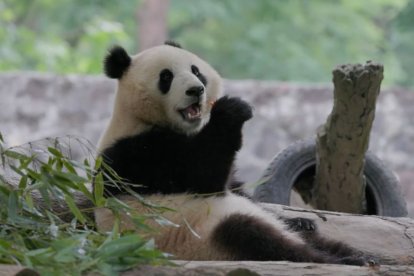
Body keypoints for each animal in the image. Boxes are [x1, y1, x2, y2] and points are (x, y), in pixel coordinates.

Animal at [94, 41, 372, 266]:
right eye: (166, 77)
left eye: (196, 71)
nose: (195, 90)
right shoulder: (137, 154)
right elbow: (202, 174)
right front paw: (232, 110)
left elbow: (235, 186)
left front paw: (299, 219)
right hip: (204, 237)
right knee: (256, 238)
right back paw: (344, 260)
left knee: (308, 237)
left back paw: (352, 251)